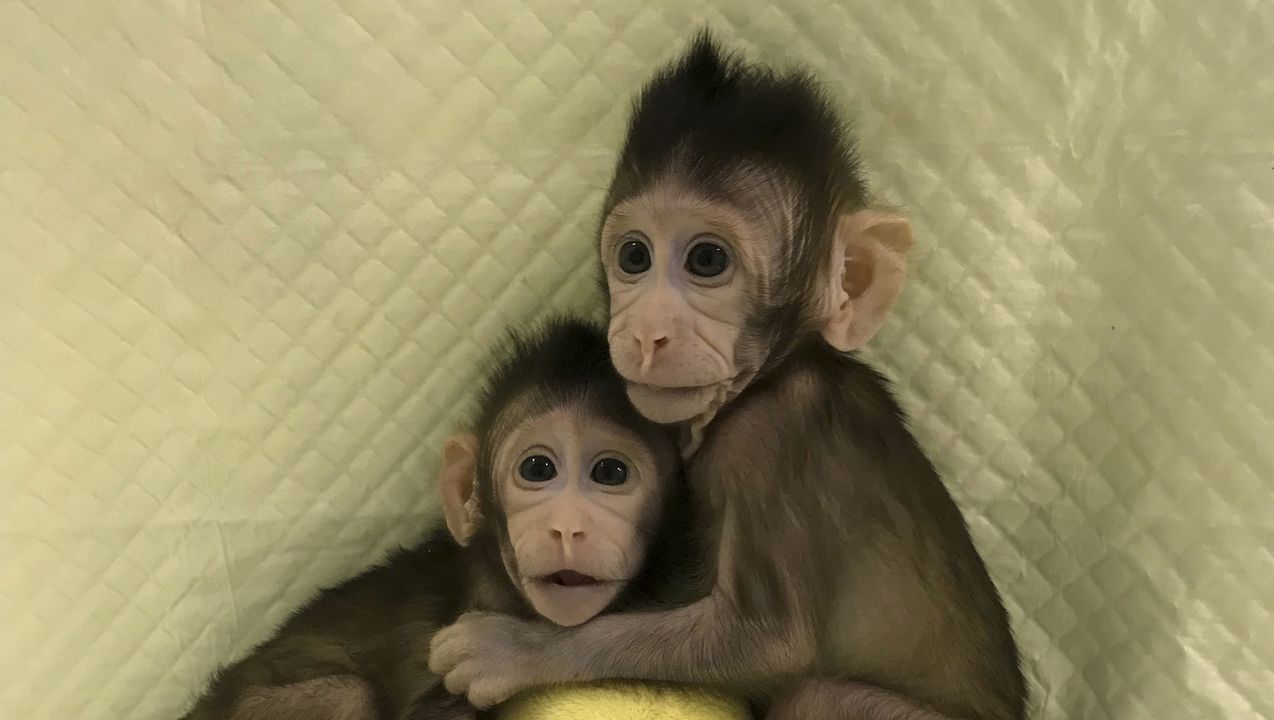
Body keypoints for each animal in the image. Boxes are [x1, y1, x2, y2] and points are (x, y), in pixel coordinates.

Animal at [429, 32, 1028, 720]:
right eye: (634, 255)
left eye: (708, 261)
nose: (646, 332)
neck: (772, 376)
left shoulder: (770, 438)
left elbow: (766, 641)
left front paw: (513, 649)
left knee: (818, 692)